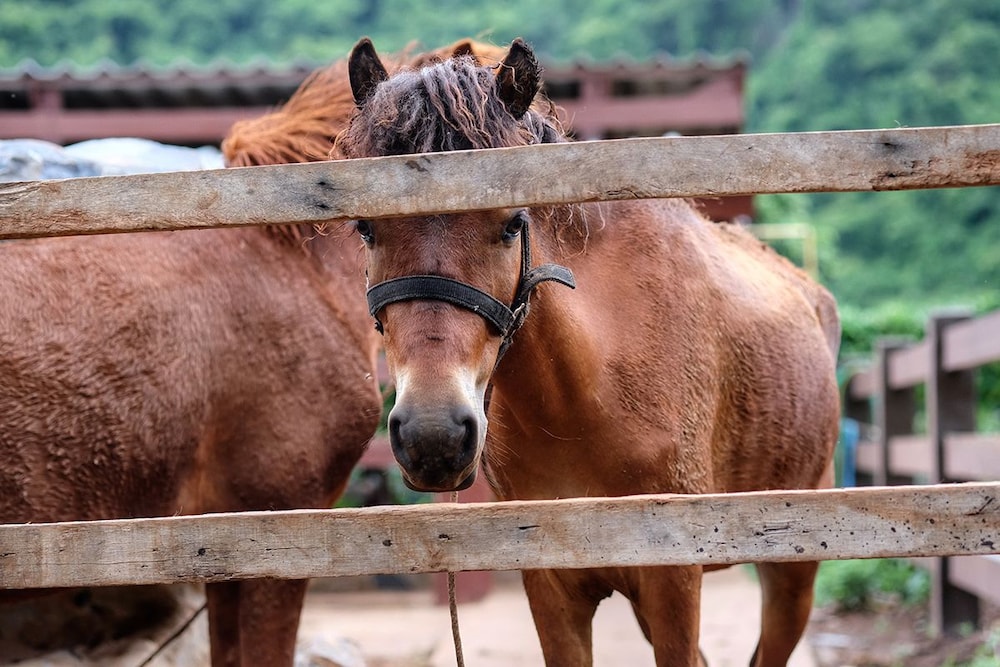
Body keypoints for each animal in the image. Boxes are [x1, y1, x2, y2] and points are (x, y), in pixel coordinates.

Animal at [338, 38, 841, 667]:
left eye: (513, 223)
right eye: (365, 227)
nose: (435, 436)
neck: (585, 396)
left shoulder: (674, 583)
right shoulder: (553, 587)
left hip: (793, 573)